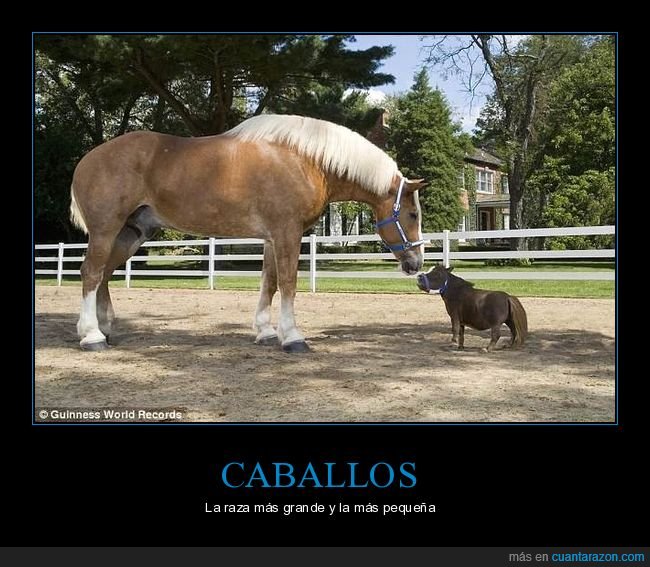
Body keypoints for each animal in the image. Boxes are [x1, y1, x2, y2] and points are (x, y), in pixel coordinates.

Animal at [70, 114, 426, 353]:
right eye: (412, 214)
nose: (416, 264)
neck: (306, 161)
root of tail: (86, 160)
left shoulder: (272, 237)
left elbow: (269, 282)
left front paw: (266, 332)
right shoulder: (287, 232)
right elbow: (288, 283)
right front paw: (292, 337)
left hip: (132, 233)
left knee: (104, 273)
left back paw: (104, 328)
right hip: (106, 230)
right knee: (91, 272)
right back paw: (92, 336)